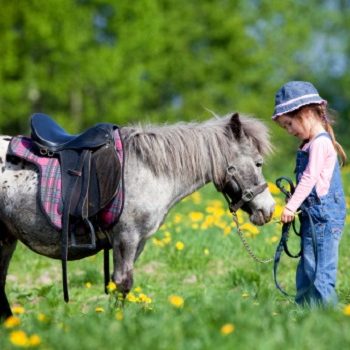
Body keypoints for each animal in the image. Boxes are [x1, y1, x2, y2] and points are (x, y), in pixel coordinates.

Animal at [0, 113, 274, 320]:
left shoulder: (138, 241)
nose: (269, 210)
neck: (148, 170)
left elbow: (120, 283)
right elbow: (122, 283)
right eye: (258, 163)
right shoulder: (126, 236)